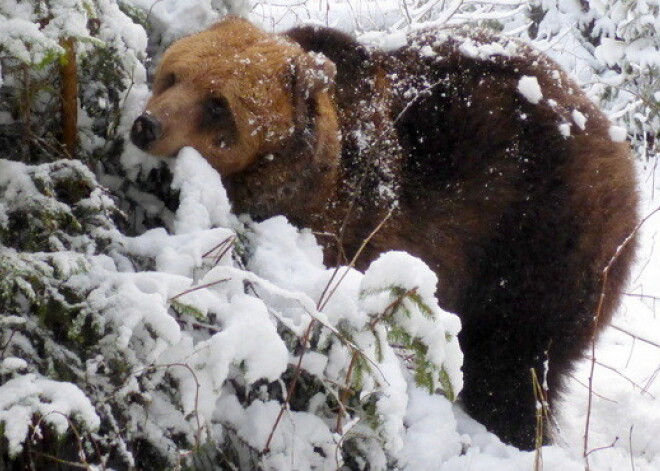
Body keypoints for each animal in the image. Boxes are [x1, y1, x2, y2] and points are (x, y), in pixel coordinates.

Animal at [130, 17, 640, 450]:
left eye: (219, 104)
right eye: (175, 75)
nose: (147, 125)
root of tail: (610, 133)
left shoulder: (349, 221)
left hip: (543, 236)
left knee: (514, 362)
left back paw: (511, 432)